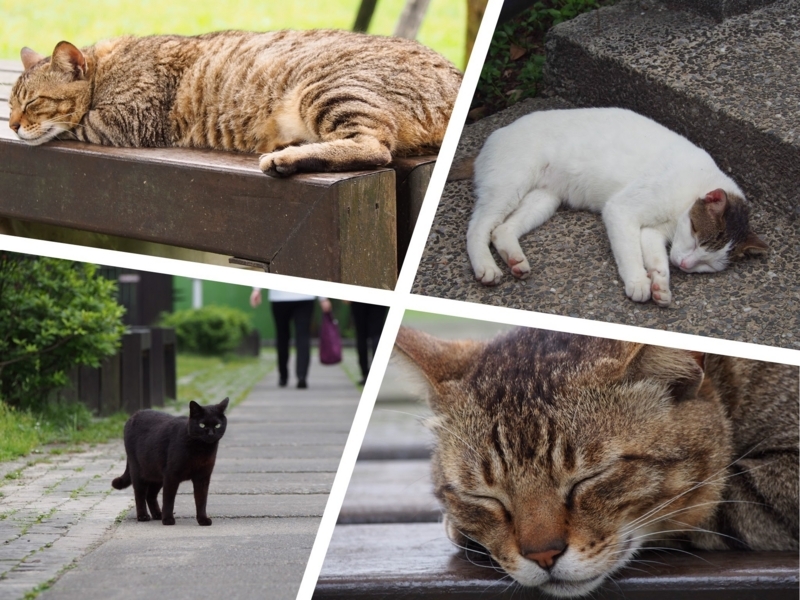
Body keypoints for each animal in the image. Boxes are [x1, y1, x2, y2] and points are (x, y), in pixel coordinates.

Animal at [462, 106, 768, 308]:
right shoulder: (621, 210)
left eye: (706, 265)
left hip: (544, 200)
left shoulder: (654, 232)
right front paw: (639, 282)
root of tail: (498, 132)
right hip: (510, 184)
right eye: (696, 240)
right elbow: (630, 252)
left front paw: (660, 284)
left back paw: (515, 260)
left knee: (501, 229)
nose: (684, 264)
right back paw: (486, 267)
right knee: (478, 227)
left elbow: (656, 258)